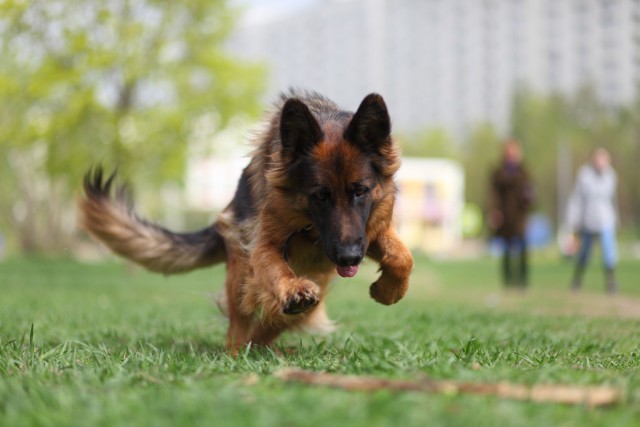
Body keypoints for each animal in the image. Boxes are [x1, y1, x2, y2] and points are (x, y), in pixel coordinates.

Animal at [80, 90, 412, 352]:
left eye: (360, 191)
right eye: (319, 196)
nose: (349, 257)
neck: (310, 230)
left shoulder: (368, 231)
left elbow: (403, 257)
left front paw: (389, 291)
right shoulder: (262, 244)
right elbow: (274, 268)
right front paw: (290, 289)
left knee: (277, 322)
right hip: (240, 268)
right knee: (240, 327)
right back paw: (242, 350)